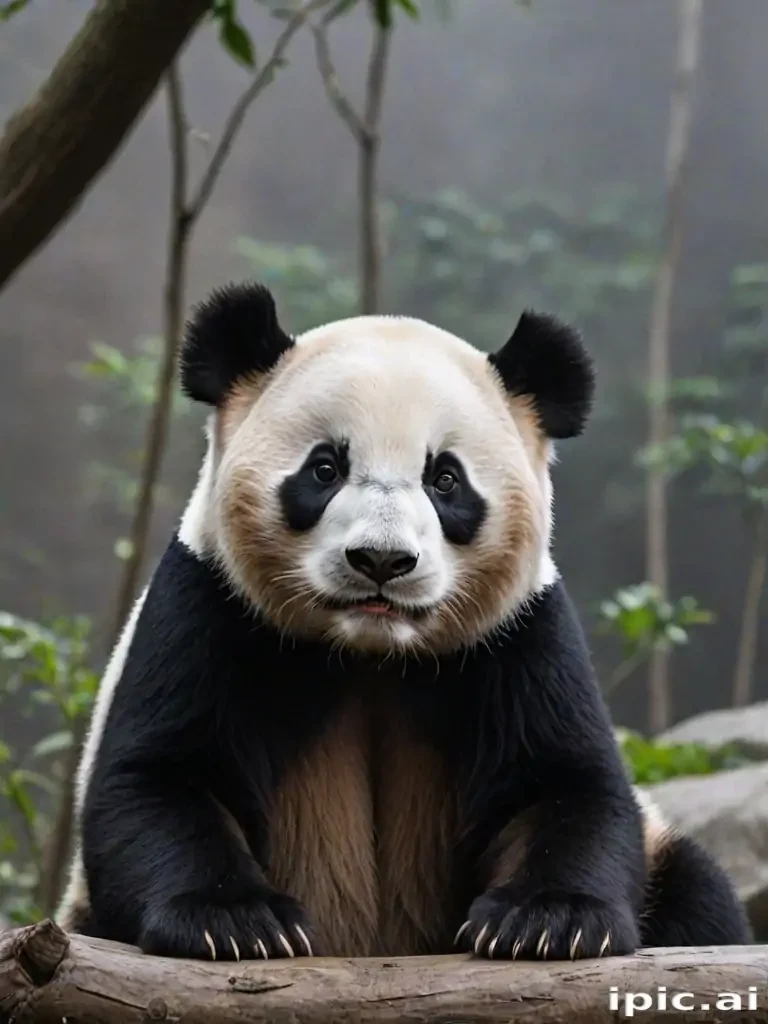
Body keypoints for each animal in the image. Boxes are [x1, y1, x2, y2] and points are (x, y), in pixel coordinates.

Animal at [57, 282, 750, 961]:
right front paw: (234, 921)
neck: (372, 652)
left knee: (699, 895)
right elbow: (157, 778)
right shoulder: (209, 603)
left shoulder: (521, 634)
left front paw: (547, 921)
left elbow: (563, 787)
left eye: (445, 479)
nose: (381, 561)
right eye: (325, 468)